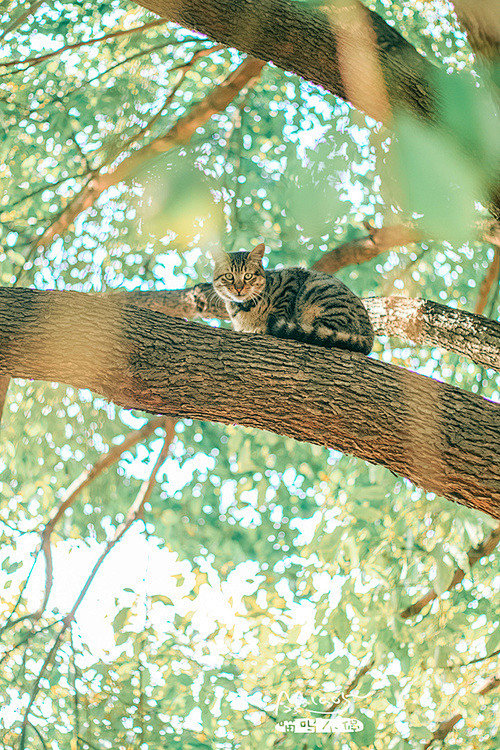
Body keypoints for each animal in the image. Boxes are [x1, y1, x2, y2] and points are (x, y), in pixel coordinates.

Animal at [212, 244, 376, 356]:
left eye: (248, 276)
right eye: (229, 276)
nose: (239, 288)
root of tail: (370, 337)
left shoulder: (289, 284)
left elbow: (279, 311)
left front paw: (263, 328)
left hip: (317, 292)